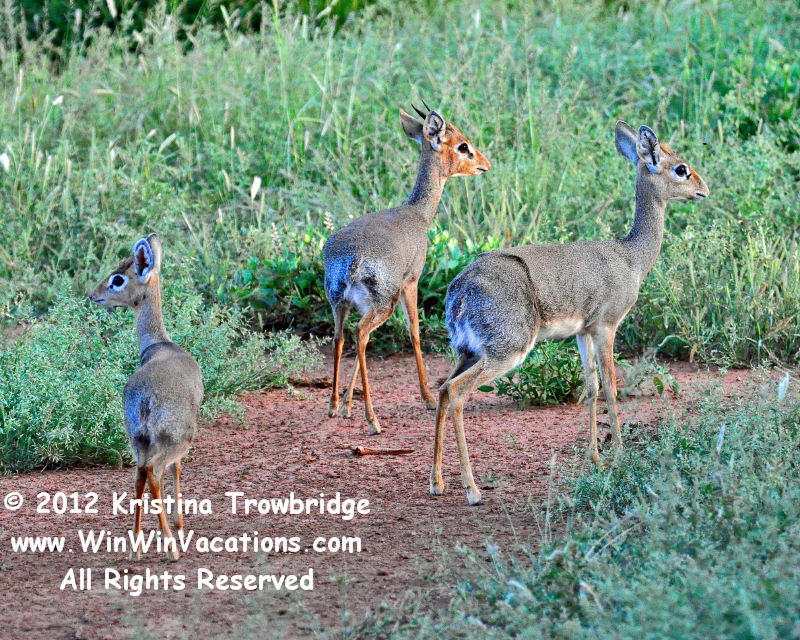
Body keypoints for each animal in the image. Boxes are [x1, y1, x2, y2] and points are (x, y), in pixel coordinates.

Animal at [89, 233, 204, 560]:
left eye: (117, 279)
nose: (93, 295)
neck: (159, 343)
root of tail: (146, 400)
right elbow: (177, 471)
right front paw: (179, 526)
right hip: (174, 440)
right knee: (155, 472)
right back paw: (172, 547)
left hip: (136, 440)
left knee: (140, 476)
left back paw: (135, 549)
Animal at [324, 102, 491, 435]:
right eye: (462, 146)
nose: (484, 164)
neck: (417, 214)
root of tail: (351, 259)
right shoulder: (411, 282)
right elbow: (415, 332)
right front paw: (427, 397)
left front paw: (347, 404)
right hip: (383, 303)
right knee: (361, 334)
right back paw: (373, 420)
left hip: (341, 302)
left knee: (341, 338)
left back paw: (335, 406)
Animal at [430, 121, 709, 505]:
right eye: (681, 168)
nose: (704, 190)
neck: (630, 258)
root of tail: (459, 288)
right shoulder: (607, 327)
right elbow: (611, 387)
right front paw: (619, 453)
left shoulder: (583, 332)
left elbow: (590, 388)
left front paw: (595, 457)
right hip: (505, 353)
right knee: (456, 392)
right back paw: (472, 490)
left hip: (467, 352)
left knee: (443, 390)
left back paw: (437, 483)